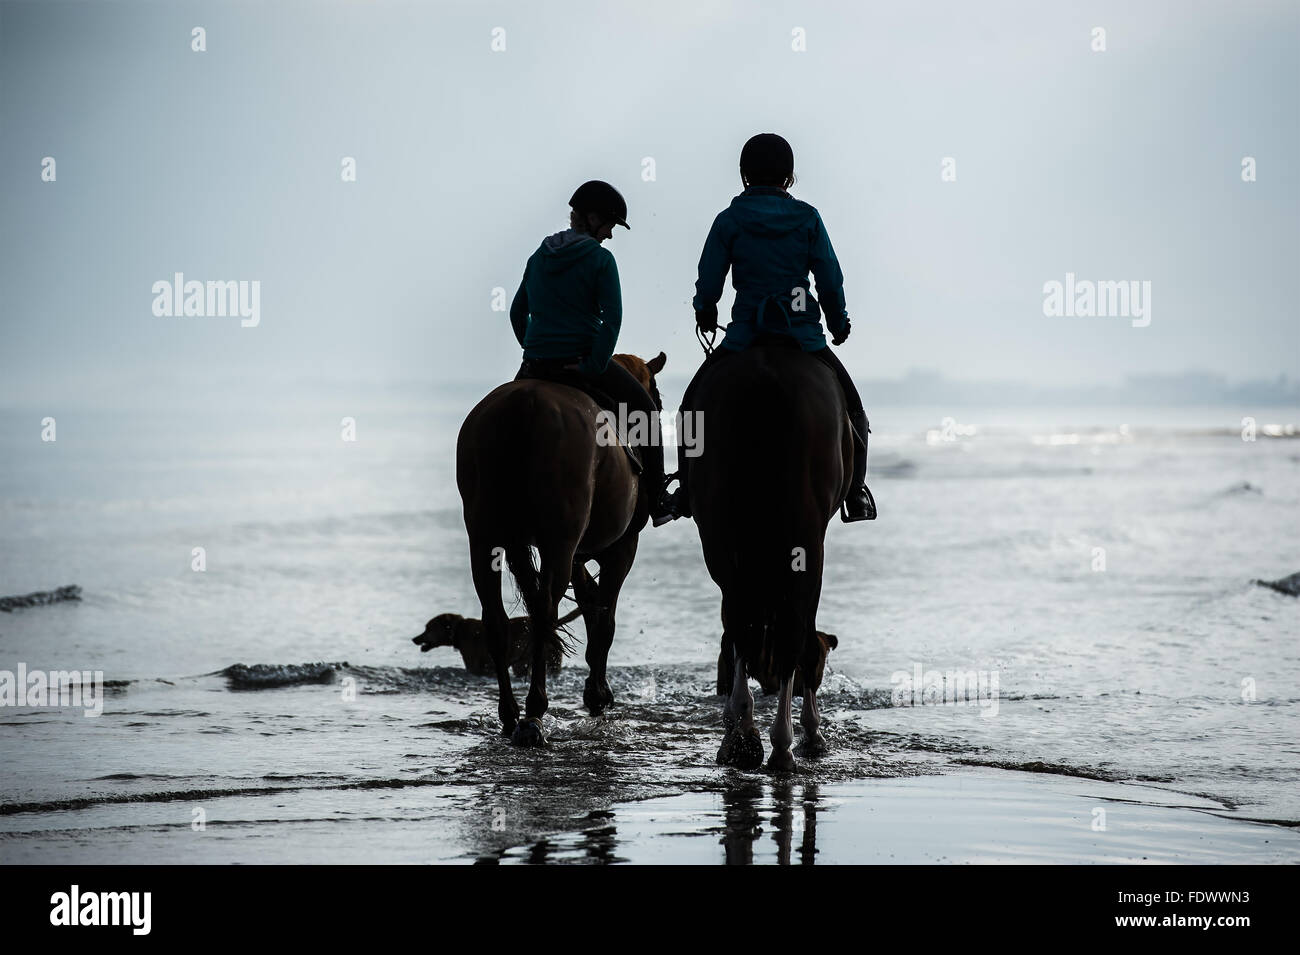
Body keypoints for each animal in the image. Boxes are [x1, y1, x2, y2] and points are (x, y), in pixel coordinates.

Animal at [454, 350, 665, 748]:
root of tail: (522, 407)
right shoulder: (620, 547)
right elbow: (605, 617)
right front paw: (596, 695)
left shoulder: (578, 555)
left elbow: (590, 604)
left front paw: (597, 690)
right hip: (559, 540)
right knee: (544, 613)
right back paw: (534, 713)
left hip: (485, 540)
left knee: (496, 620)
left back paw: (510, 715)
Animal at [686, 340, 857, 774]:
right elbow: (805, 645)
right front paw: (810, 731)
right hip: (802, 541)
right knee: (787, 629)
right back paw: (776, 743)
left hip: (723, 539)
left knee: (739, 621)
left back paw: (747, 737)